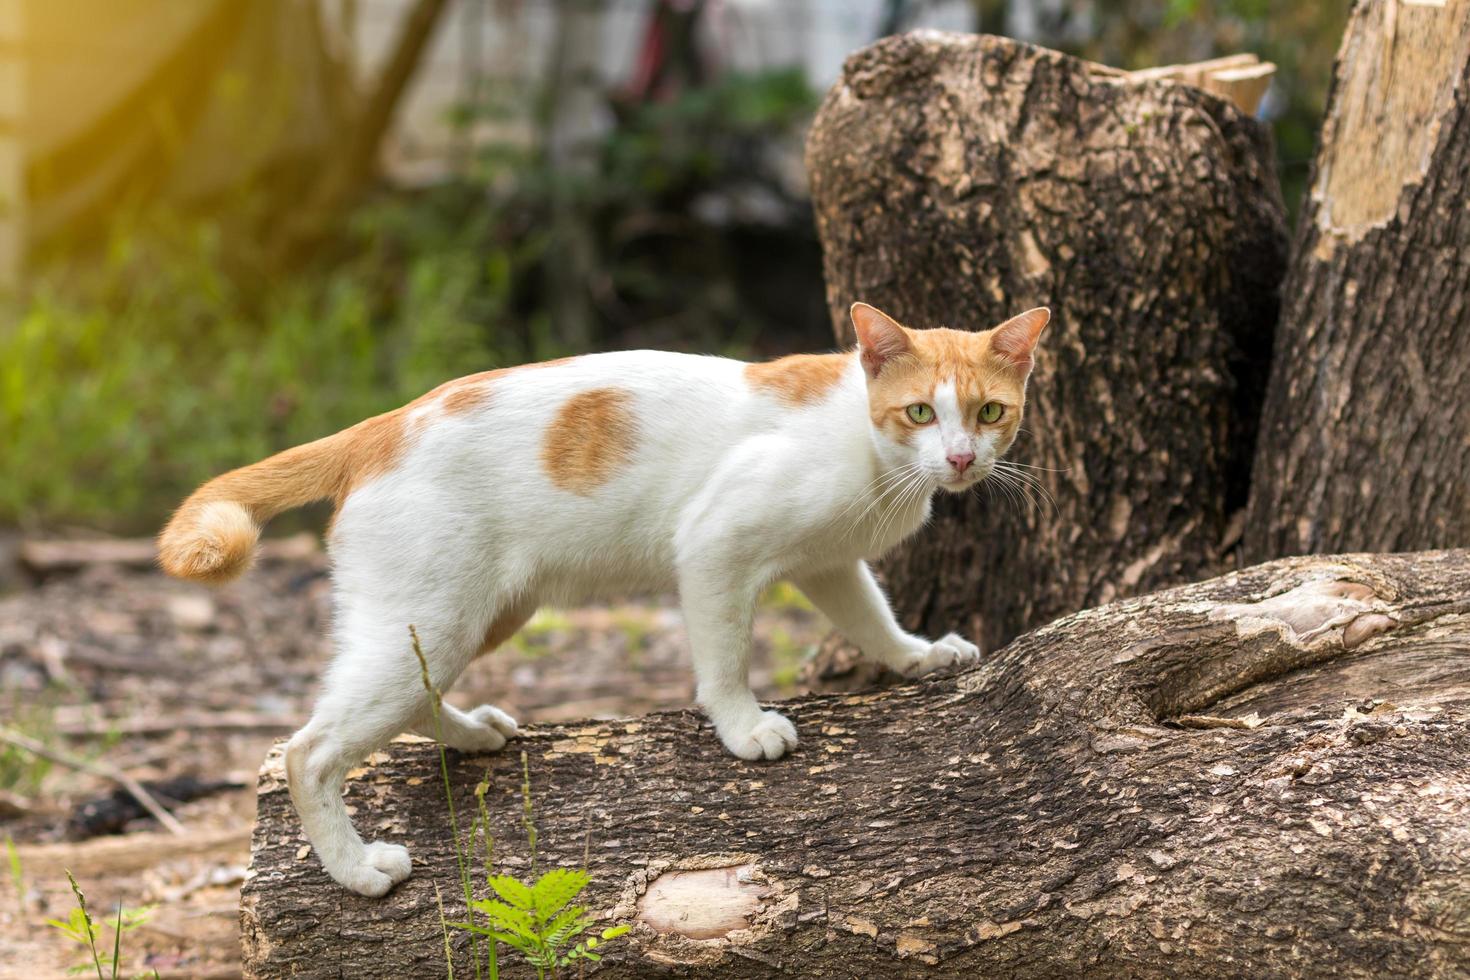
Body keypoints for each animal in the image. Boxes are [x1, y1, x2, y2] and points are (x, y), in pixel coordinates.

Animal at [158, 301, 1046, 899]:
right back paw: (354, 869)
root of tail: (378, 428)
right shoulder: (714, 544)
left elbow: (871, 617)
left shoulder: (829, 564)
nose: (961, 459)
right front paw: (744, 728)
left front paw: (918, 656)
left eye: (990, 413)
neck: (867, 444)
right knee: (307, 750)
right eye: (921, 412)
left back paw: (471, 735)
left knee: (408, 700)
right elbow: (724, 659)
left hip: (470, 616)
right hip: (433, 615)